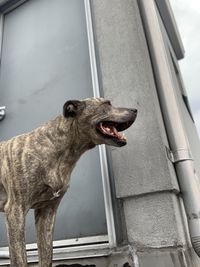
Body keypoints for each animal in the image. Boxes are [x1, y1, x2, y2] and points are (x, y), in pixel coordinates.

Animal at [0, 98, 137, 267]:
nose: (135, 110)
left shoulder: (47, 212)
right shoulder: (15, 212)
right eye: (107, 104)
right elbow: (19, 259)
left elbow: (47, 256)